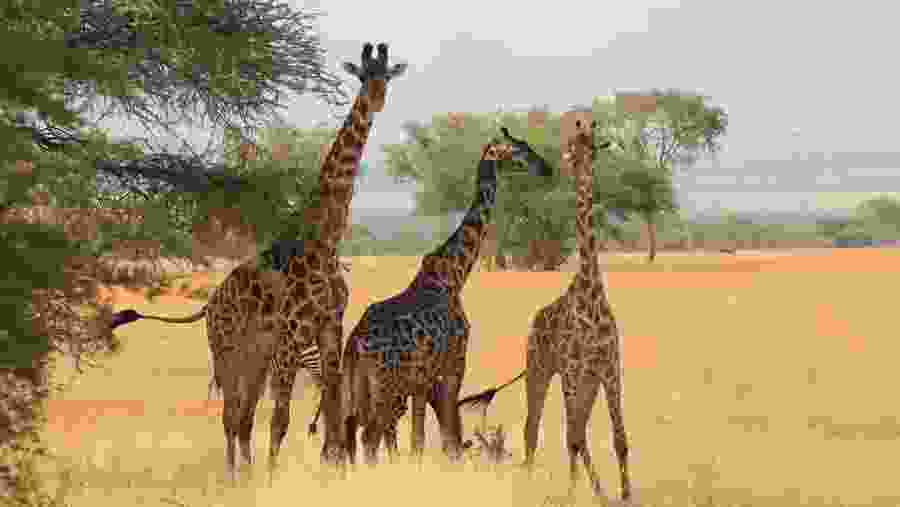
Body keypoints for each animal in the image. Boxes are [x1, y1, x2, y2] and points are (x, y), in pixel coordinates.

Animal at [108, 42, 407, 476]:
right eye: (362, 75)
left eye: (387, 76)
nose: (377, 99)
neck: (324, 240)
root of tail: (210, 306)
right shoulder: (293, 331)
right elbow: (281, 416)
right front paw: (272, 475)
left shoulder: (329, 325)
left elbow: (333, 402)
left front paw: (333, 467)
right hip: (227, 349)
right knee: (232, 414)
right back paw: (236, 474)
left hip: (256, 353)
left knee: (244, 415)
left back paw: (243, 471)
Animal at [339, 127, 553, 465]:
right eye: (518, 149)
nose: (546, 167)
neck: (453, 276)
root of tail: (355, 344)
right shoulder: (453, 366)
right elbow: (448, 438)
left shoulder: (421, 381)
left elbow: (419, 440)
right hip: (385, 387)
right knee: (369, 438)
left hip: (360, 390)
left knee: (351, 439)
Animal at [457, 120, 632, 501]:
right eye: (573, 146)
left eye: (591, 146)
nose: (576, 166)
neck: (591, 293)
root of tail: (534, 322)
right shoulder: (571, 368)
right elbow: (572, 438)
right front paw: (571, 495)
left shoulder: (609, 367)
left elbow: (619, 438)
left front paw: (625, 496)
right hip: (540, 370)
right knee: (534, 427)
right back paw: (533, 479)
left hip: (584, 381)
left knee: (576, 431)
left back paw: (597, 491)